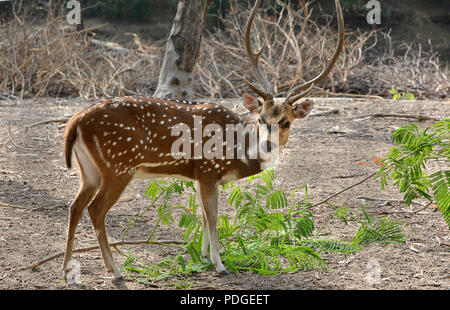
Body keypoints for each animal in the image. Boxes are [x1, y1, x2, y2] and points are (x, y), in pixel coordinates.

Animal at [61, 0, 344, 280]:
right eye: (261, 119)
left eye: (286, 122)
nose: (267, 145)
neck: (237, 150)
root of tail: (76, 121)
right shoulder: (209, 169)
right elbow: (213, 216)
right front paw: (220, 265)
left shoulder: (199, 174)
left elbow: (204, 217)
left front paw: (206, 257)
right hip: (117, 166)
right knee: (96, 209)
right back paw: (116, 270)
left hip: (89, 169)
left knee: (75, 206)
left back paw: (66, 267)